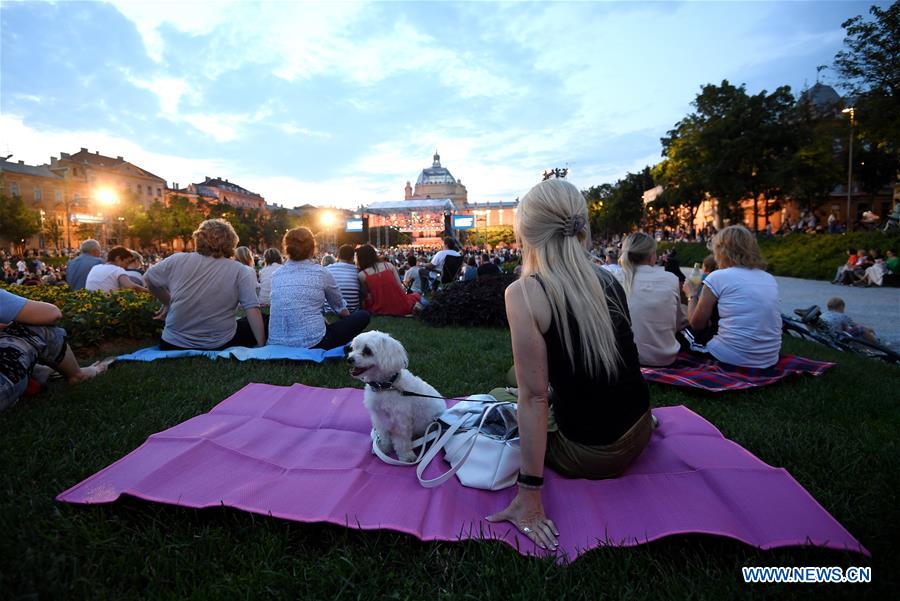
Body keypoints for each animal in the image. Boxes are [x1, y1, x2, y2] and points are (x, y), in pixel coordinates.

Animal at [348, 330, 446, 462]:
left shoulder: (401, 420)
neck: (385, 387)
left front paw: (407, 456)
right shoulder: (379, 417)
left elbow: (402, 441)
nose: (349, 359)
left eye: (367, 351)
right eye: (353, 348)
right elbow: (383, 435)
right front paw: (383, 448)